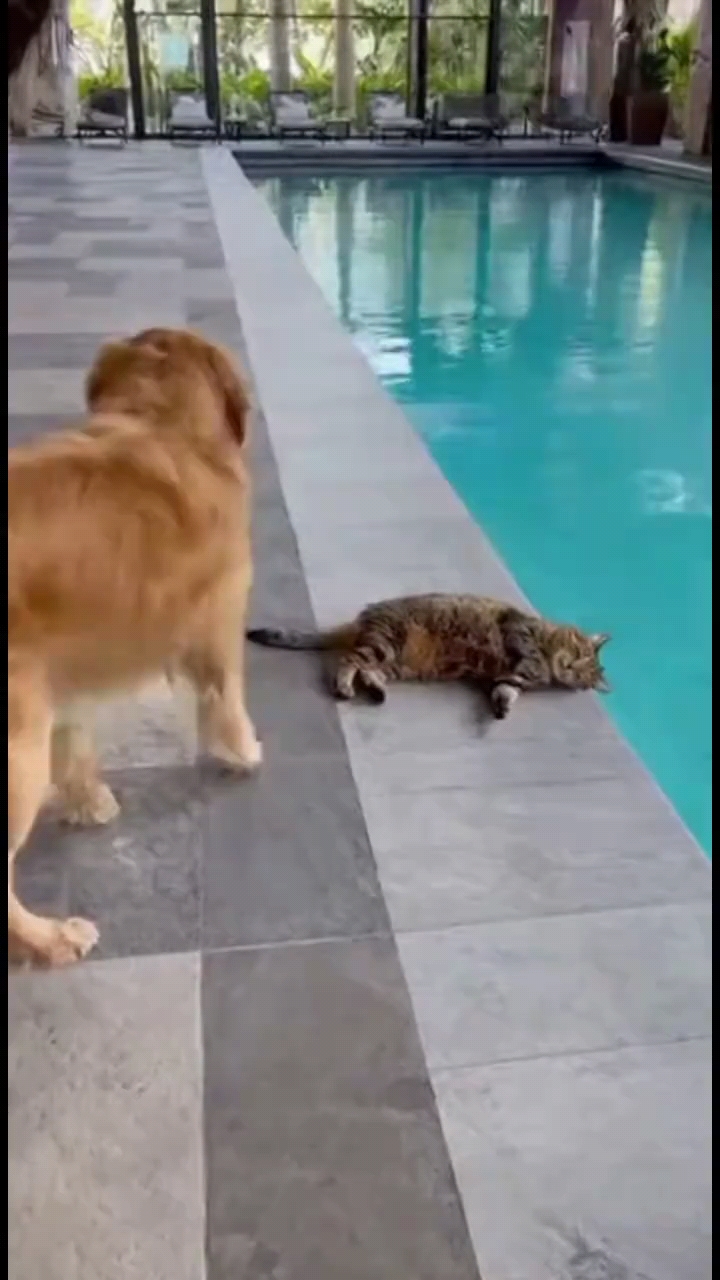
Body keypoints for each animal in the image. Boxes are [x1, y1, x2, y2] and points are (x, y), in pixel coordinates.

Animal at [8, 328, 261, 968]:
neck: (160, 423)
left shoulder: (59, 666)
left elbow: (75, 737)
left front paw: (87, 801)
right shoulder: (219, 615)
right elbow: (227, 696)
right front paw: (243, 750)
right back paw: (53, 938)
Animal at [247, 593, 611, 719]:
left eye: (584, 675)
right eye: (580, 653)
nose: (573, 667)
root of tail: (363, 619)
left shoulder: (505, 679)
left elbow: (507, 691)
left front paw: (503, 706)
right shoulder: (517, 630)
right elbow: (528, 654)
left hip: (393, 661)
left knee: (368, 669)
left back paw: (376, 691)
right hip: (386, 643)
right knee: (349, 660)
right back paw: (345, 686)